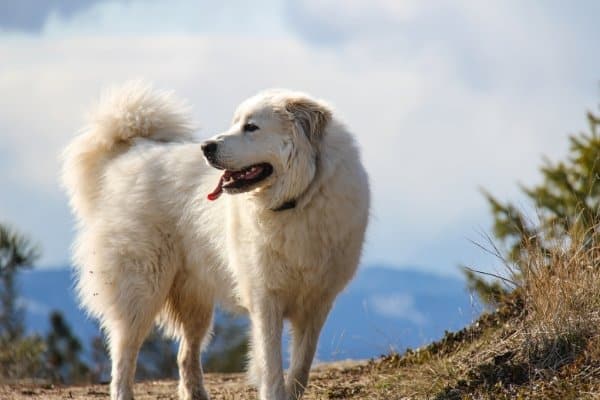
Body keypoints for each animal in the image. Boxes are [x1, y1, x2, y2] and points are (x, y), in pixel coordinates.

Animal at [62, 82, 370, 400]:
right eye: (235, 123)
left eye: (251, 127)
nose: (206, 147)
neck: (298, 200)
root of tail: (131, 153)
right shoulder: (265, 298)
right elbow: (271, 363)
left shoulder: (317, 303)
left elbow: (301, 366)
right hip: (141, 288)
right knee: (124, 354)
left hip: (195, 301)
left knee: (185, 353)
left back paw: (195, 393)